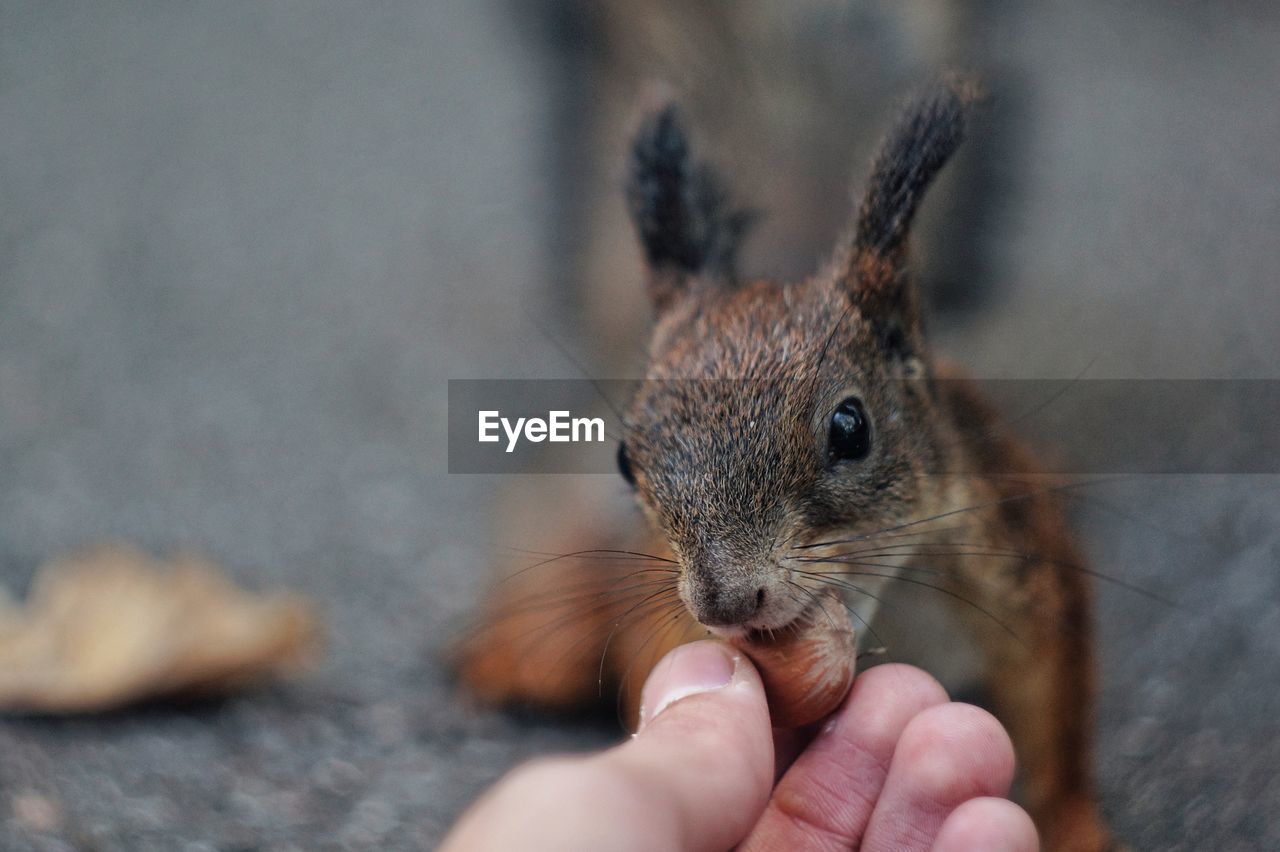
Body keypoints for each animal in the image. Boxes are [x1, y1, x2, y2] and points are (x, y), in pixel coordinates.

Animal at [458, 76, 1111, 844]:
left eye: (850, 427)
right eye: (624, 458)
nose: (726, 602)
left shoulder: (1013, 554)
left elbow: (1056, 694)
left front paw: (1075, 827)